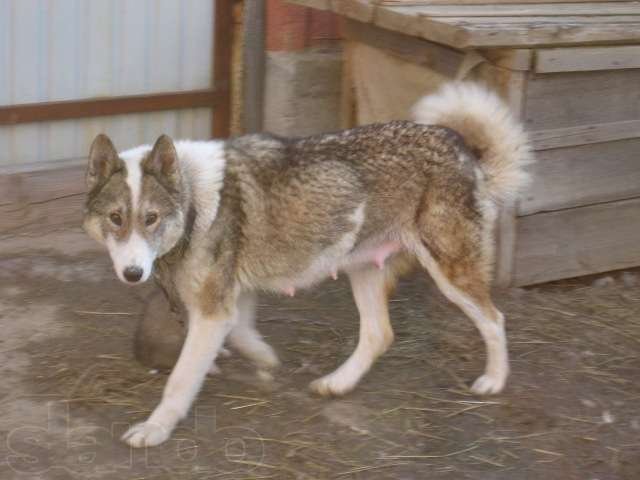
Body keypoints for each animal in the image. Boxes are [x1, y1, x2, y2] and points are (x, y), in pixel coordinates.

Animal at [82, 81, 532, 446]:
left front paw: (155, 429)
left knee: (495, 319)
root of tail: (463, 151)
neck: (194, 201)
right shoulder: (231, 300)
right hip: (362, 270)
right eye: (116, 219)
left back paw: (494, 380)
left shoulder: (213, 310)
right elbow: (242, 334)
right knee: (379, 334)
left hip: (450, 273)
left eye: (151, 218)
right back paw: (336, 383)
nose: (133, 274)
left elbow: (178, 381)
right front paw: (264, 360)